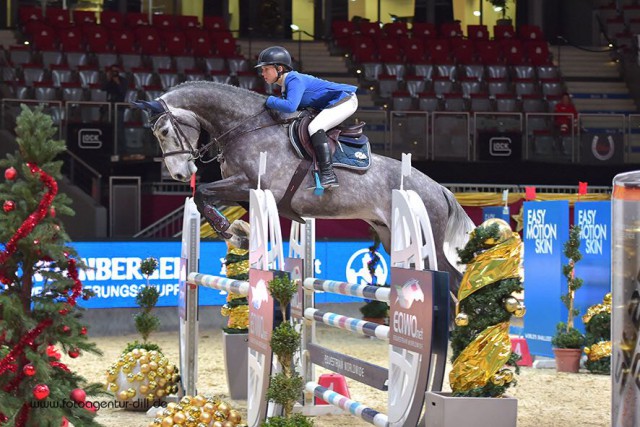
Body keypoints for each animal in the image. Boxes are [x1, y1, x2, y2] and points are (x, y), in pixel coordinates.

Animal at [135, 79, 476, 294]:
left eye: (164, 131)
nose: (179, 174)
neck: (246, 128)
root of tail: (440, 190)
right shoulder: (244, 191)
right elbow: (204, 198)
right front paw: (237, 233)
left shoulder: (250, 185)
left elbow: (202, 193)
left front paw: (232, 234)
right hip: (392, 236)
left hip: (427, 238)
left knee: (453, 280)